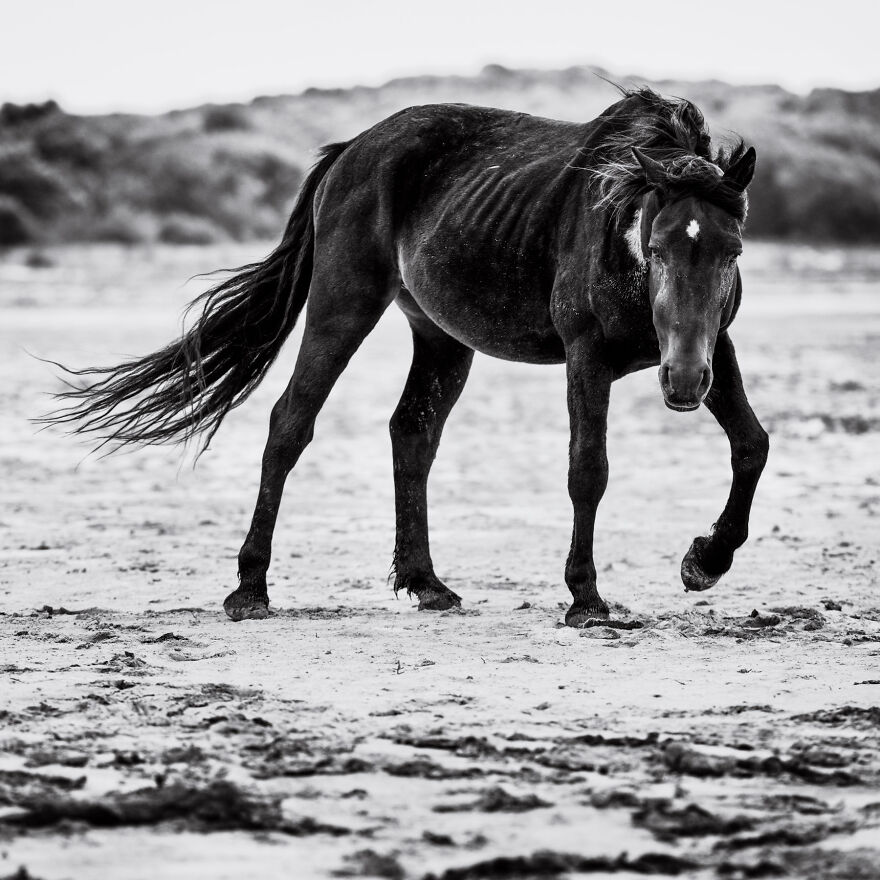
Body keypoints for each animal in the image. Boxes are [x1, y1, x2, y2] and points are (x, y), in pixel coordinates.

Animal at [47, 87, 769, 627]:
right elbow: (587, 469)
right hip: (342, 308)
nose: (680, 383)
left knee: (411, 434)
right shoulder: (586, 358)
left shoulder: (714, 349)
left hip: (442, 338)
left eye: (732, 250)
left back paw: (426, 584)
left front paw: (705, 561)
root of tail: (350, 151)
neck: (620, 223)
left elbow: (751, 445)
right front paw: (586, 599)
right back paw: (250, 590)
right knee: (290, 425)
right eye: (659, 247)